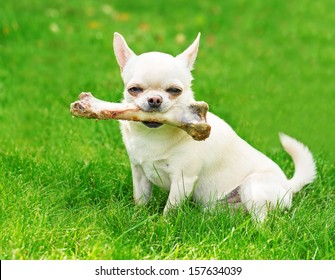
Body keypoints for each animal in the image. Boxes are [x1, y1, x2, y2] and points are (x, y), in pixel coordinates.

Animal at [113, 32, 318, 221]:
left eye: (175, 91)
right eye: (134, 89)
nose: (155, 99)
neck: (152, 136)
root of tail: (288, 186)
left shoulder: (183, 180)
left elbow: (170, 209)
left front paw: (163, 225)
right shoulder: (139, 173)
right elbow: (140, 199)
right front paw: (137, 218)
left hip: (253, 188)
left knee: (261, 221)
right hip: (218, 206)